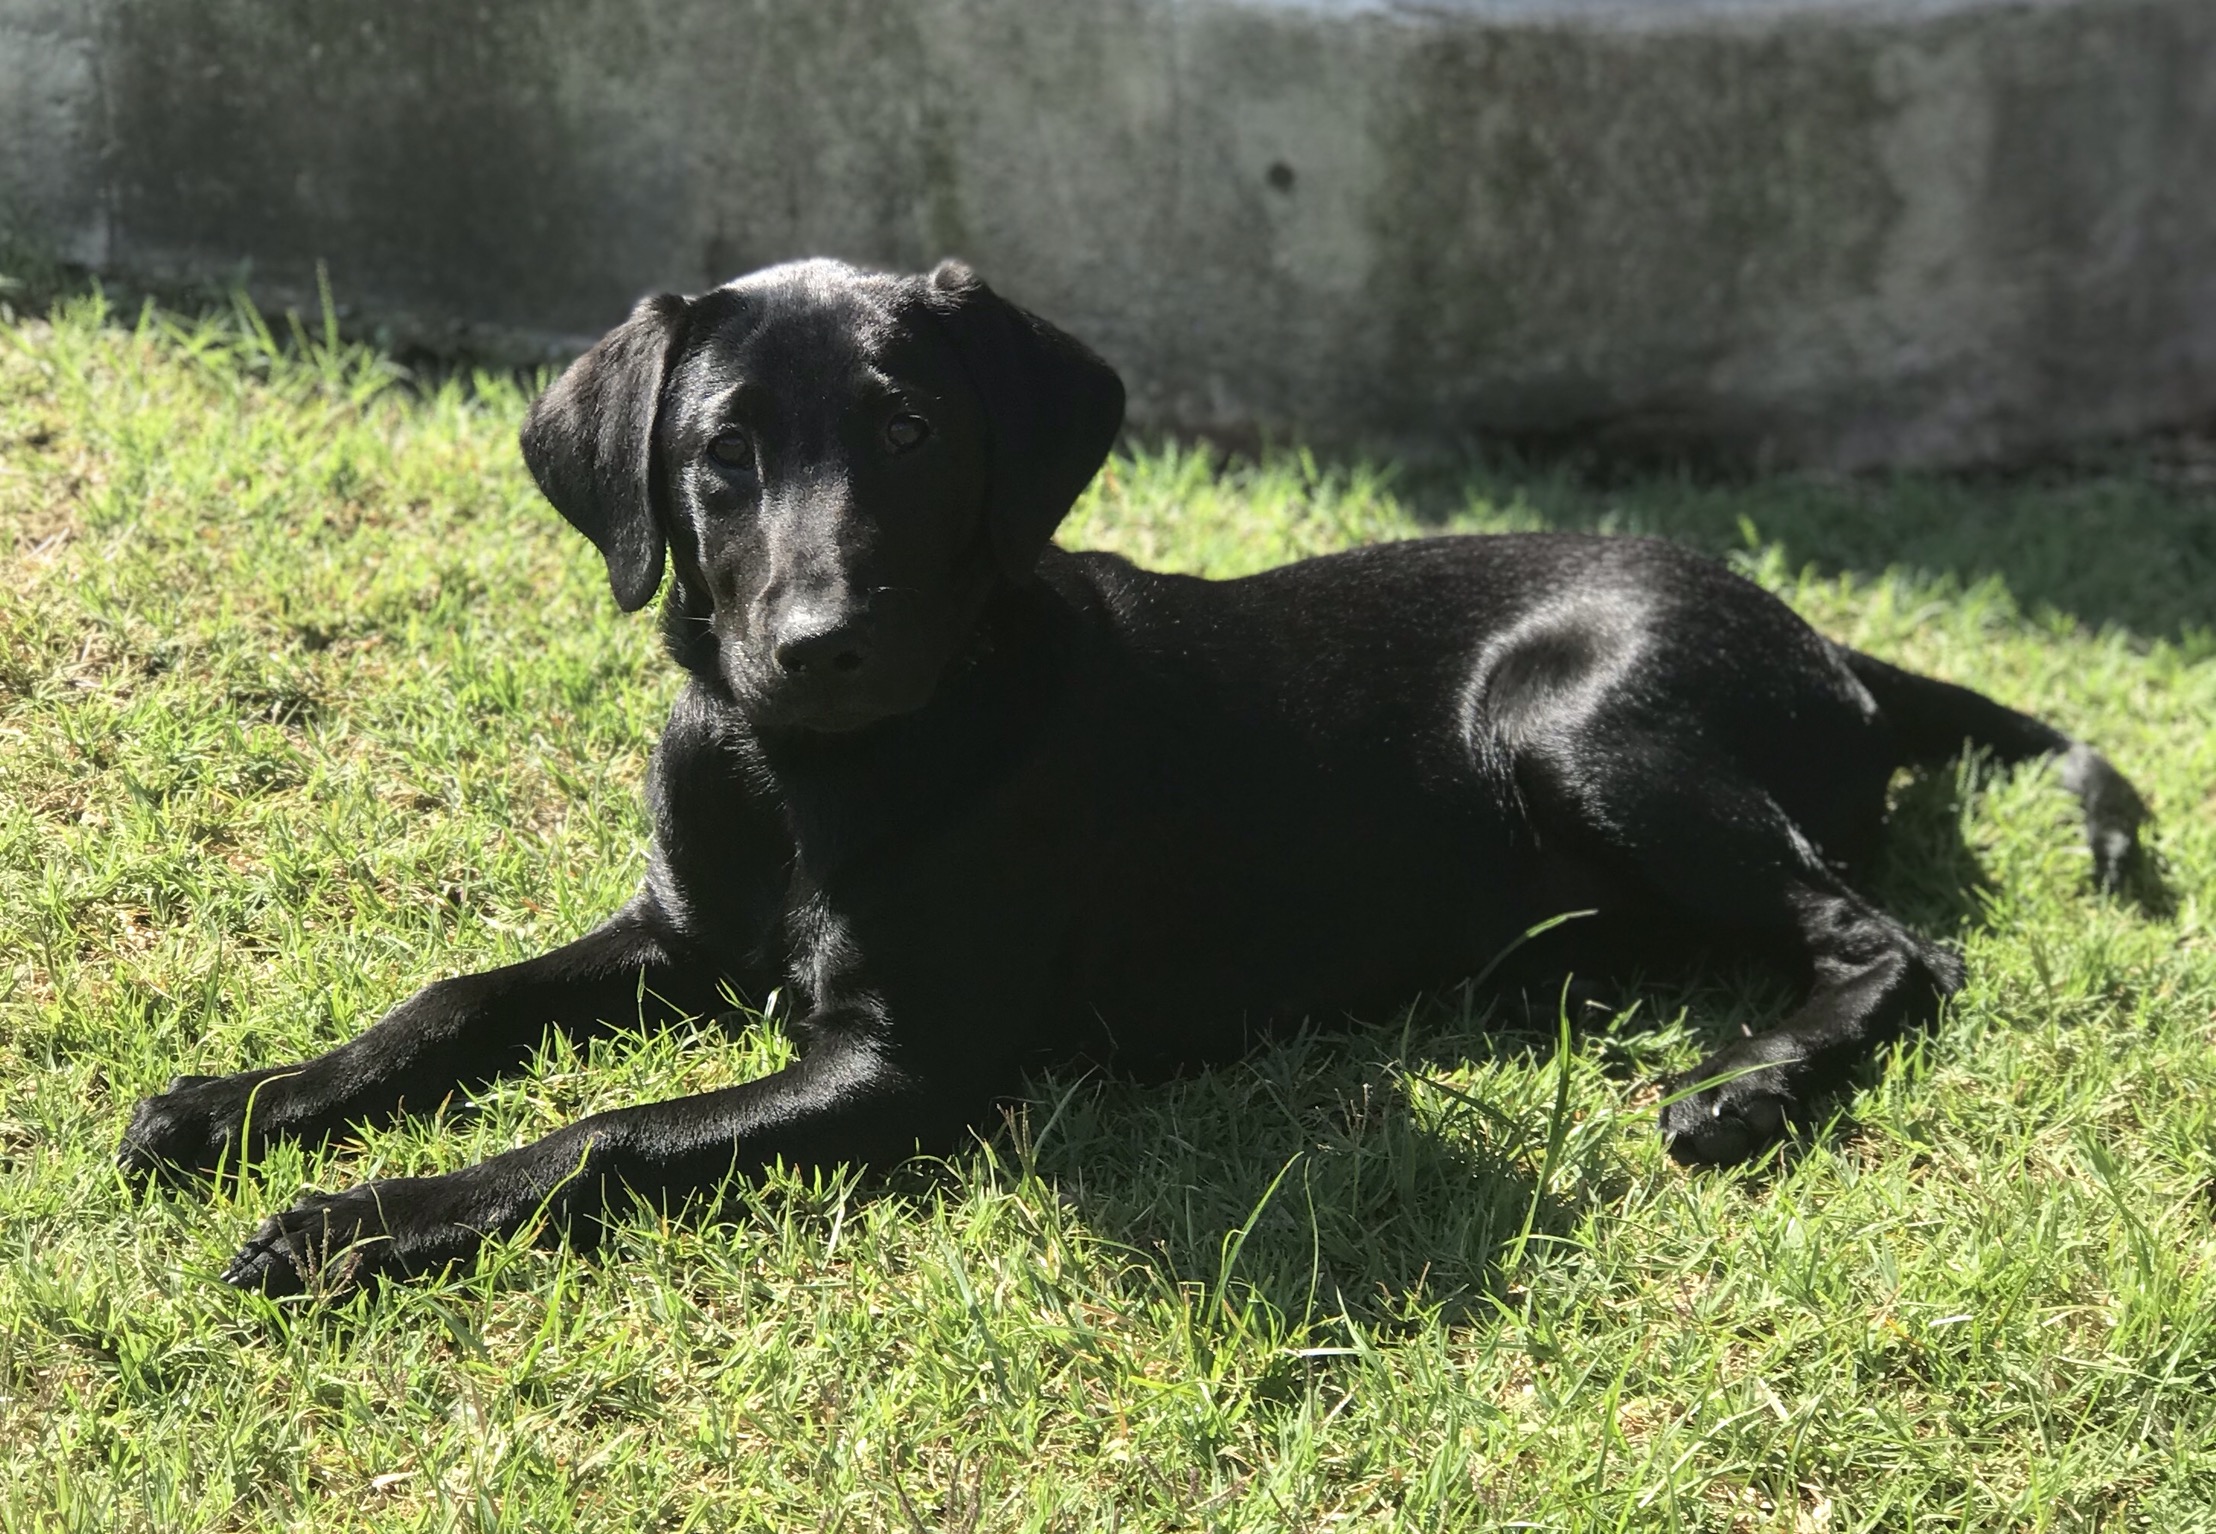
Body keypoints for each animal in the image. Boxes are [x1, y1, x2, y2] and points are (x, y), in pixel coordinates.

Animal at [121, 260, 2145, 1294]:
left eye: (910, 432)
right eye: (720, 455)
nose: (818, 643)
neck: (810, 773)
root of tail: (1831, 640)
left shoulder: (914, 1060)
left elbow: (607, 1128)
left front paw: (363, 1218)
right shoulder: (682, 929)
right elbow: (459, 995)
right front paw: (249, 1101)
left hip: (1582, 716)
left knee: (1887, 941)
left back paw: (1749, 1082)